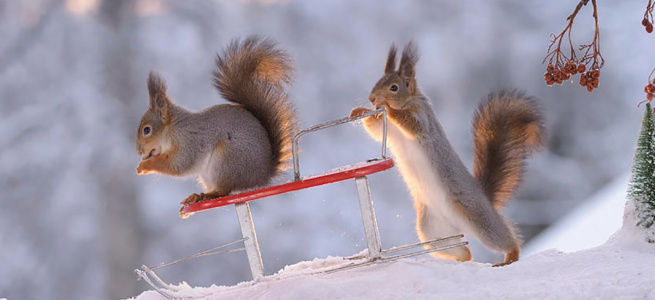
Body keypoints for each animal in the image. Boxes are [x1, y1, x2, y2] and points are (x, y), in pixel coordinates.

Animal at [136, 35, 298, 218]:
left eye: (147, 130)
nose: (139, 151)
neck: (173, 129)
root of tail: (261, 176)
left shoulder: (190, 141)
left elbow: (178, 164)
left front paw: (144, 166)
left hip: (226, 161)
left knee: (223, 191)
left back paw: (206, 195)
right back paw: (196, 197)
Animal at [352, 40, 544, 268]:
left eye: (394, 87)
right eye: (377, 82)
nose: (372, 98)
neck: (409, 101)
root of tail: (485, 198)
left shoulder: (423, 119)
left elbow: (410, 124)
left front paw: (389, 108)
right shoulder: (390, 132)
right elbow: (375, 129)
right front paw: (358, 111)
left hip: (478, 218)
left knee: (505, 239)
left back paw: (509, 257)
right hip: (433, 231)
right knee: (464, 251)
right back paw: (459, 261)